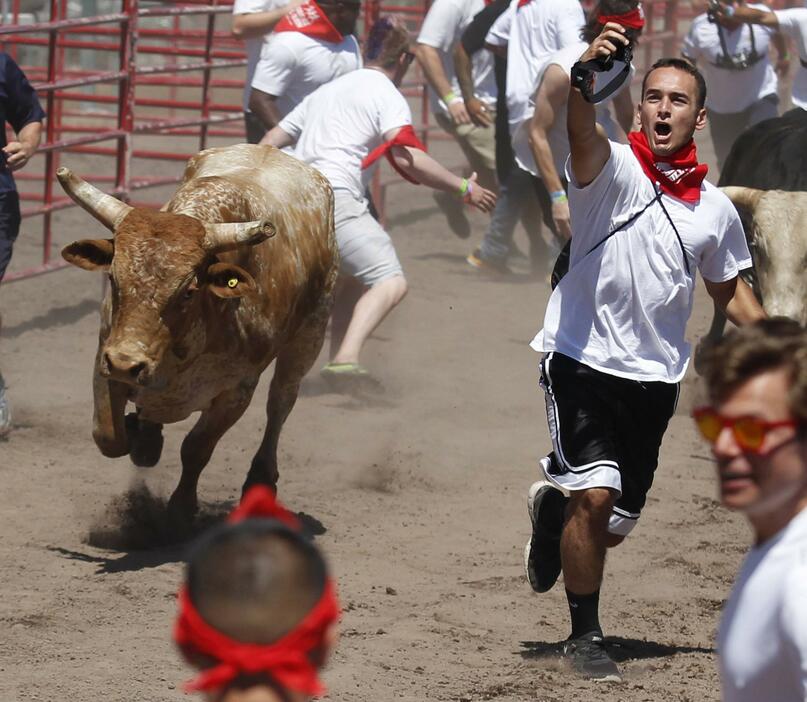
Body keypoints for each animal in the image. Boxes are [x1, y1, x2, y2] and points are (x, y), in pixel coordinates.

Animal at [58, 143, 338, 524]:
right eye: (114, 278)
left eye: (188, 291)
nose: (127, 364)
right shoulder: (106, 356)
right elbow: (108, 435)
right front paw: (142, 440)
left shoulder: (237, 391)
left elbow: (196, 448)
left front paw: (181, 508)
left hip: (309, 336)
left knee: (280, 401)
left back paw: (261, 478)